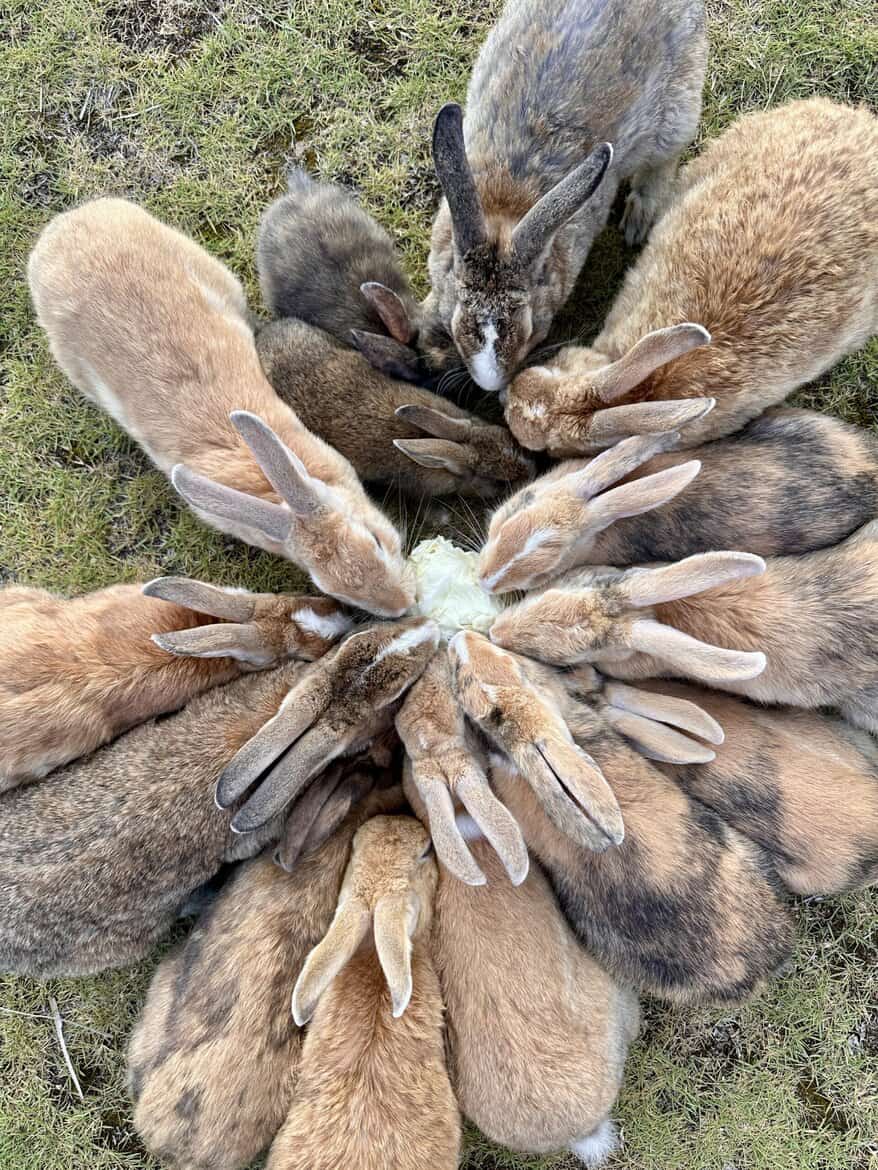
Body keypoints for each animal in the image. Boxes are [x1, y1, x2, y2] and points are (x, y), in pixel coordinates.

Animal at [426, 0, 707, 390]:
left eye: (530, 330)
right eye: (455, 322)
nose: (492, 384)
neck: (506, 206)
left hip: (678, 110)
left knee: (663, 162)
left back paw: (637, 219)